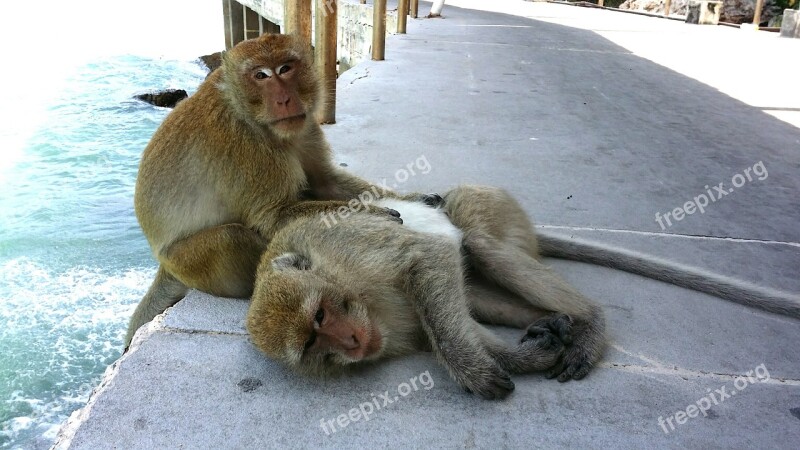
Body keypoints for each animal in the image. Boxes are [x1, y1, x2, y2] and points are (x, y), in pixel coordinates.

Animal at [124, 33, 422, 346]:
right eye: (261, 75)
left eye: (285, 69)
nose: (284, 99)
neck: (247, 111)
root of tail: (161, 261)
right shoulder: (246, 145)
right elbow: (271, 217)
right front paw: (377, 215)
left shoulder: (305, 126)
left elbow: (325, 181)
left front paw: (415, 198)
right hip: (187, 262)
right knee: (231, 237)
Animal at [247, 185, 604, 400]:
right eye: (311, 345)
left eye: (319, 315)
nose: (352, 343)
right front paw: (523, 358)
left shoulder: (345, 243)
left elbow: (427, 256)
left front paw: (472, 372)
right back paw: (550, 320)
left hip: (492, 208)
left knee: (476, 242)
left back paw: (590, 319)